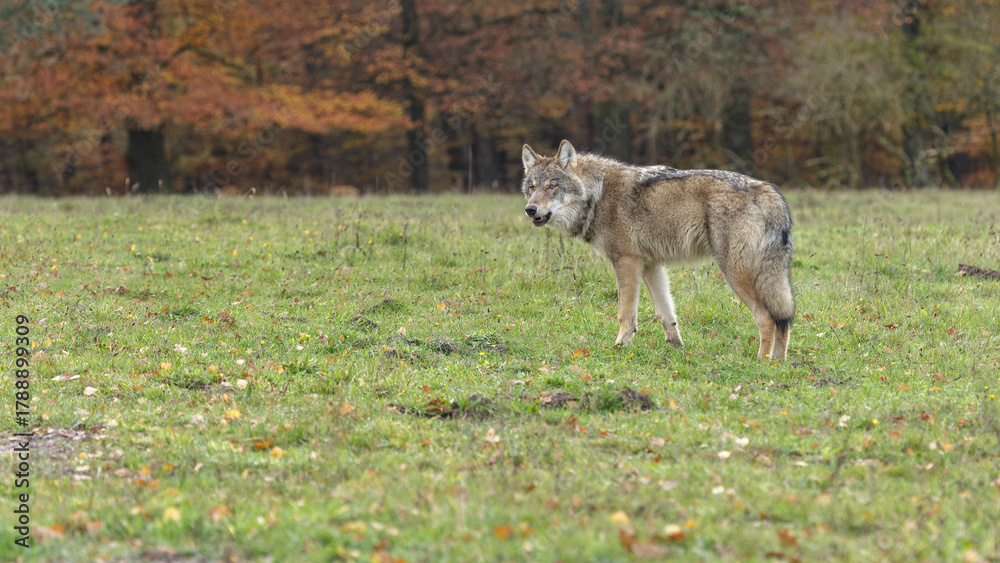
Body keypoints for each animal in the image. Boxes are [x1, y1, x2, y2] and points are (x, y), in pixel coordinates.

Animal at [521, 140, 794, 361]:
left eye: (553, 185)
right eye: (532, 187)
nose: (530, 209)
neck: (597, 195)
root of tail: (768, 191)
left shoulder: (627, 262)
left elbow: (625, 314)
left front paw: (618, 348)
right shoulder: (651, 265)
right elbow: (666, 314)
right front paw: (676, 348)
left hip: (734, 272)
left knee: (767, 318)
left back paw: (761, 361)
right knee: (783, 318)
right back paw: (778, 362)